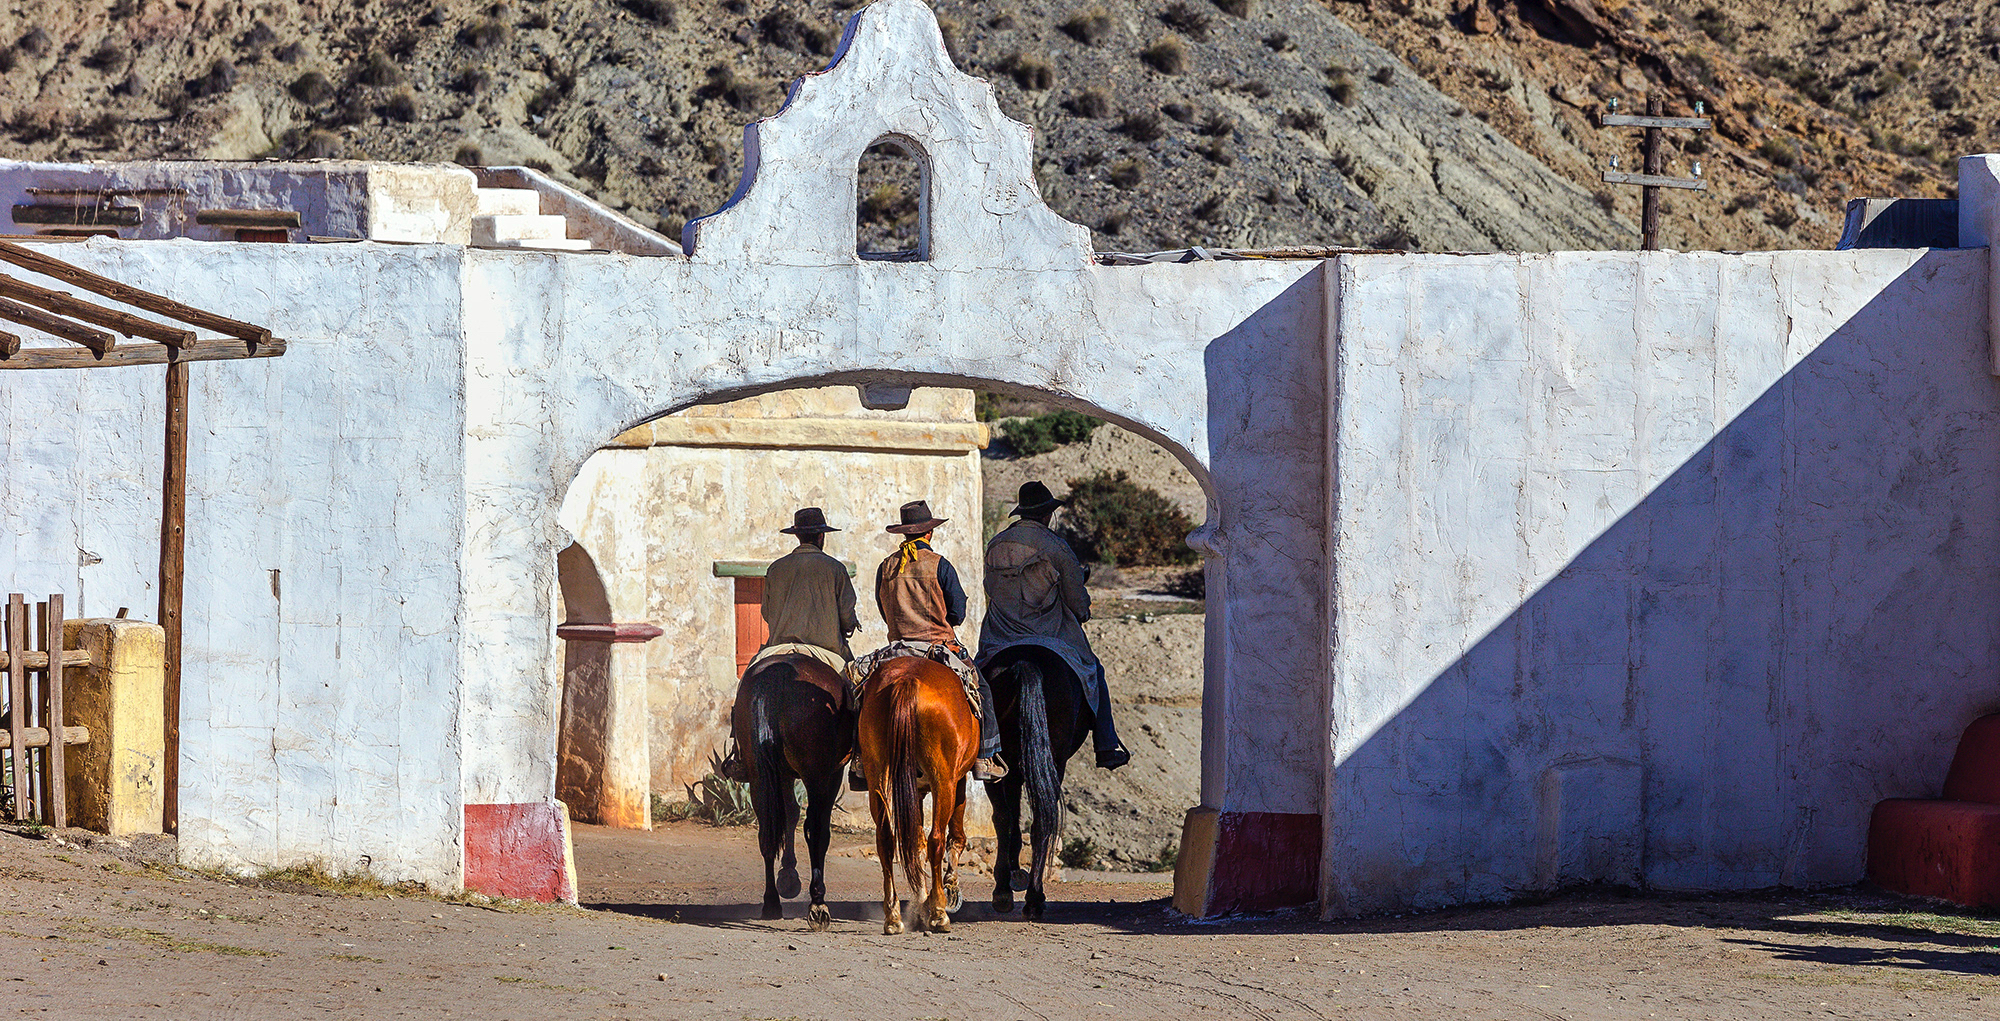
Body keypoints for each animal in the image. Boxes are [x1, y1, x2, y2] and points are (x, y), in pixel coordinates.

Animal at [736, 652, 860, 932]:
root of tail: (776, 674)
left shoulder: (780, 774)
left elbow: (789, 814)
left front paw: (788, 876)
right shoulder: (830, 775)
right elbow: (811, 827)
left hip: (760, 777)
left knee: (766, 833)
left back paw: (771, 902)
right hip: (817, 777)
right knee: (816, 830)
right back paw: (817, 903)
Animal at [856, 652, 980, 932]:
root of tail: (908, 680)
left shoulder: (916, 790)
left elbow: (915, 841)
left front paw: (920, 901)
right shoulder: (957, 780)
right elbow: (955, 836)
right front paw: (945, 889)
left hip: (877, 774)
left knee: (886, 839)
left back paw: (893, 916)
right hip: (943, 781)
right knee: (936, 838)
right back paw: (939, 913)